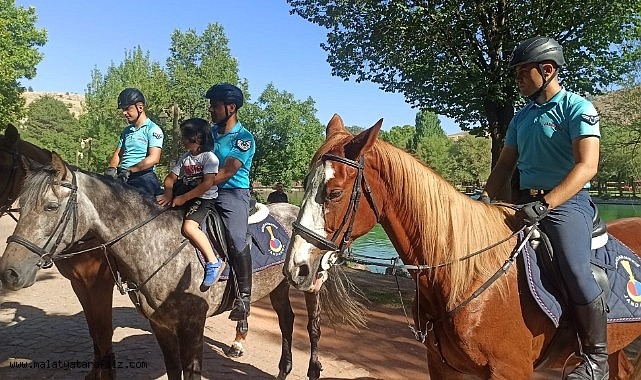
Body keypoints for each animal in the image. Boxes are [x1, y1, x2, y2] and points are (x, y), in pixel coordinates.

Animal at [284, 114, 641, 378]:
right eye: (305, 184)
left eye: (333, 193)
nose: (296, 268)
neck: (465, 274)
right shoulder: (443, 367)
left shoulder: (510, 371)